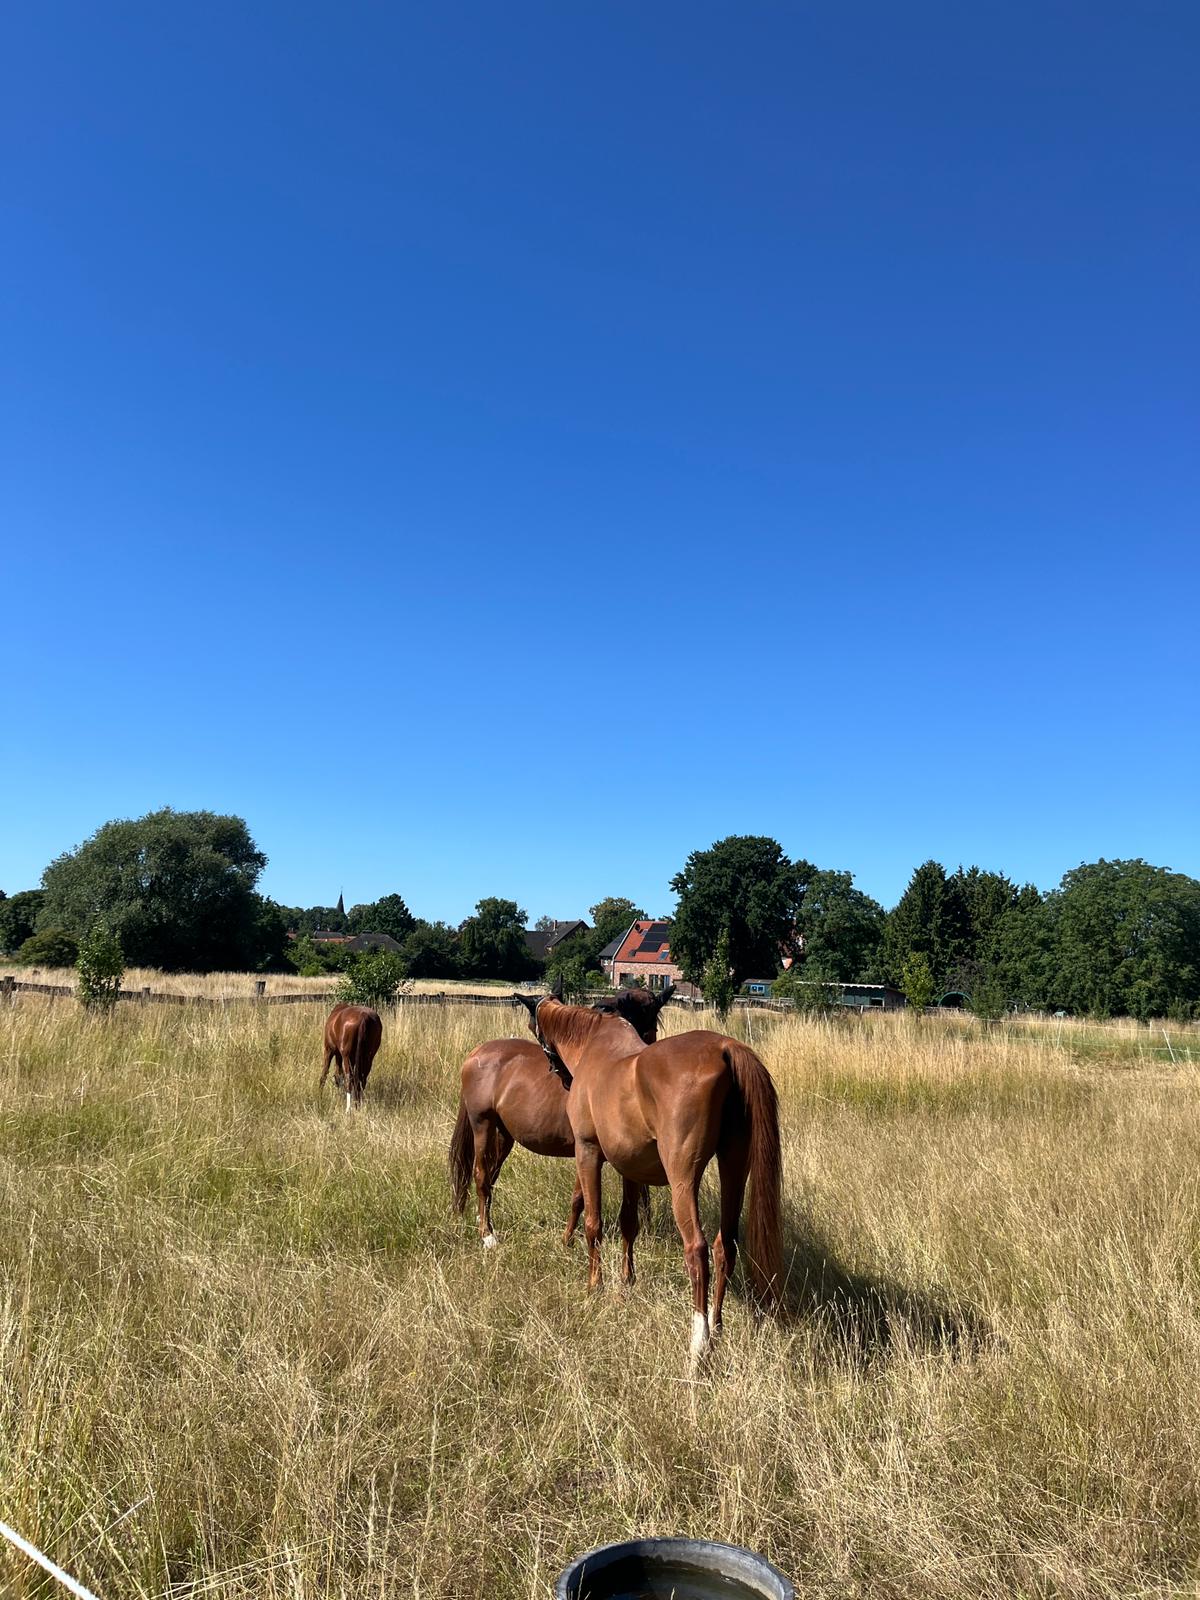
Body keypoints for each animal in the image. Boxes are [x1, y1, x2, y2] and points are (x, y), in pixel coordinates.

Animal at [449, 985, 673, 1249]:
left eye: (651, 1028)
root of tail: (477, 1052)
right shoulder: (585, 1149)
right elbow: (580, 1198)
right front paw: (568, 1240)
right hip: (482, 1124)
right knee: (481, 1174)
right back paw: (487, 1234)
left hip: (504, 1134)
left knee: (491, 1174)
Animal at [521, 996, 782, 1367]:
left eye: (534, 1029)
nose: (561, 1077)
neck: (594, 1044)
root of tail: (725, 1048)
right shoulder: (631, 1168)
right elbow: (628, 1224)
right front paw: (626, 1282)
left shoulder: (587, 1151)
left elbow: (593, 1222)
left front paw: (595, 1286)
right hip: (733, 1168)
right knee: (724, 1246)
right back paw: (717, 1329)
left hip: (683, 1178)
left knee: (697, 1249)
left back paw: (699, 1342)